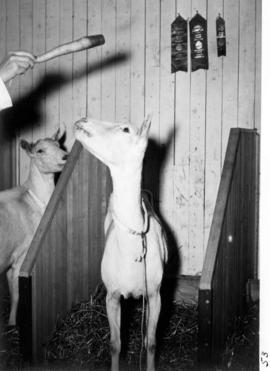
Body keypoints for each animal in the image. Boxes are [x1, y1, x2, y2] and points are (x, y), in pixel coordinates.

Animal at [0, 132, 67, 326]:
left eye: (58, 144)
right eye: (40, 151)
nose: (65, 156)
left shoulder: (10, 260)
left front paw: (11, 321)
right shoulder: (22, 255)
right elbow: (17, 296)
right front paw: (13, 323)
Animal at [74, 116, 167, 371]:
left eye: (126, 129)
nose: (82, 120)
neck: (131, 251)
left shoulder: (155, 293)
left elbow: (151, 343)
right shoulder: (112, 295)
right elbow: (115, 344)